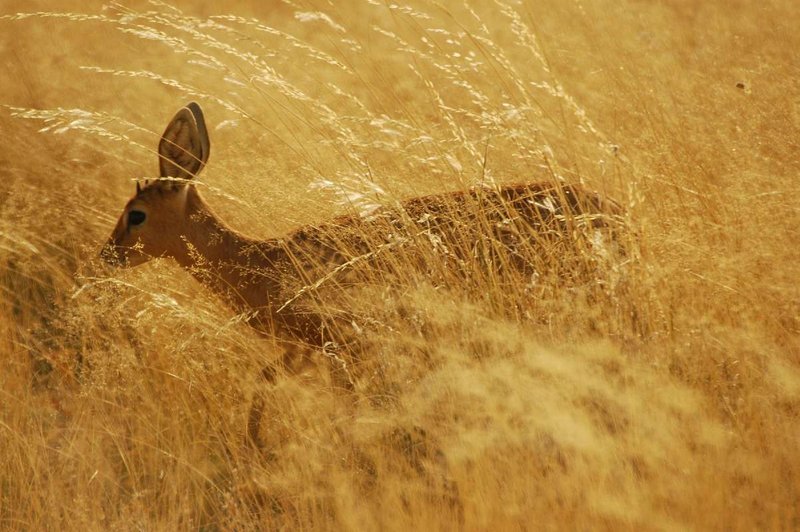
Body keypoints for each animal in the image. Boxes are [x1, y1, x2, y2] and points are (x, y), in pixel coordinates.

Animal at [101, 102, 624, 442]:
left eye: (136, 214)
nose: (108, 255)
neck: (259, 262)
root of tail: (615, 212)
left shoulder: (338, 344)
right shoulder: (304, 349)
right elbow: (263, 388)